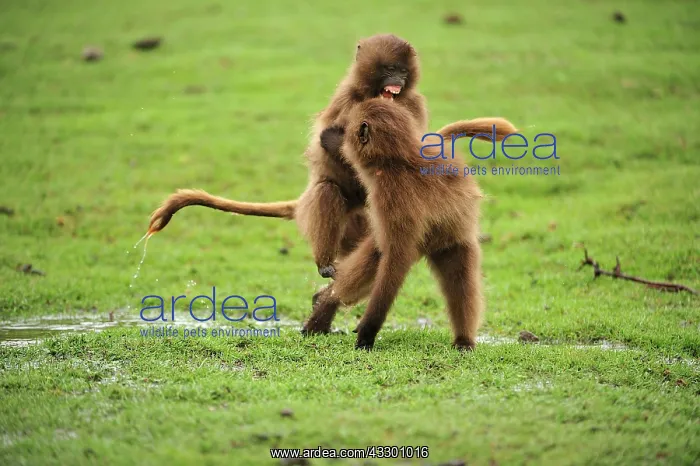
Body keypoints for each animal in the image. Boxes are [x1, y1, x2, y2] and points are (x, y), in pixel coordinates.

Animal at [147, 34, 429, 280]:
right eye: (389, 68)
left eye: (403, 71)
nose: (398, 80)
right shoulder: (346, 99)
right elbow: (327, 142)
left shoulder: (413, 104)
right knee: (327, 190)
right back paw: (325, 263)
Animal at [303, 97, 518, 351]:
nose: (344, 134)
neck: (402, 157)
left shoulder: (391, 194)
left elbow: (396, 258)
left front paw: (367, 332)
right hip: (452, 244)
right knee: (460, 280)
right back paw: (464, 341)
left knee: (380, 254)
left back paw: (326, 304)